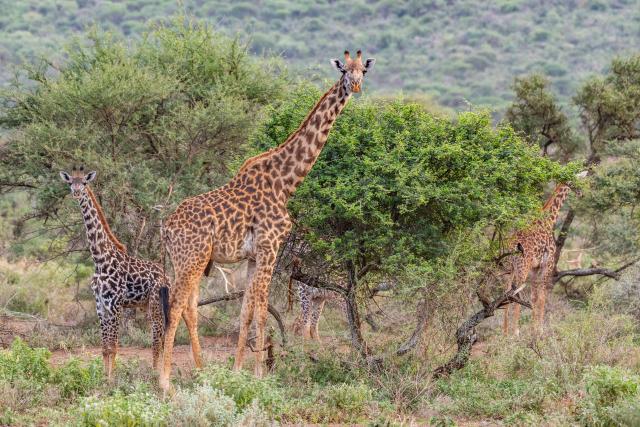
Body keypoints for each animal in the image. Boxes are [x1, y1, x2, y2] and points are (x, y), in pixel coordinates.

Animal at [59, 167, 170, 381]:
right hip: (149, 305)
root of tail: (167, 276)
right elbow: (104, 347)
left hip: (155, 303)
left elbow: (114, 346)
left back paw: (156, 375)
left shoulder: (115, 304)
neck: (100, 260)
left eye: (84, 183)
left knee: (158, 338)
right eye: (70, 183)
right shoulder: (100, 304)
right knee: (162, 336)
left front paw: (111, 379)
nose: (76, 193)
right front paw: (104, 377)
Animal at [159, 50, 375, 390]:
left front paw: (237, 371)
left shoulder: (252, 255)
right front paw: (260, 375)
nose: (354, 86)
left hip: (189, 261)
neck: (286, 182)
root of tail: (166, 227)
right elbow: (262, 311)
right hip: (191, 258)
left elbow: (246, 311)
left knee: (189, 308)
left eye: (362, 71)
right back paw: (165, 381)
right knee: (177, 306)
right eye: (343, 71)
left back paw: (201, 371)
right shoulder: (270, 246)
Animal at [502, 172, 587, 336]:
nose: (582, 193)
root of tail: (511, 246)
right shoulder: (547, 264)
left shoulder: (535, 268)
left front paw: (533, 329)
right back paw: (515, 332)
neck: (549, 220)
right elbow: (542, 297)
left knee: (506, 292)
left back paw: (505, 332)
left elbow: (534, 297)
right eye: (575, 181)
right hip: (522, 268)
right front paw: (540, 329)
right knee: (515, 293)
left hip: (510, 268)